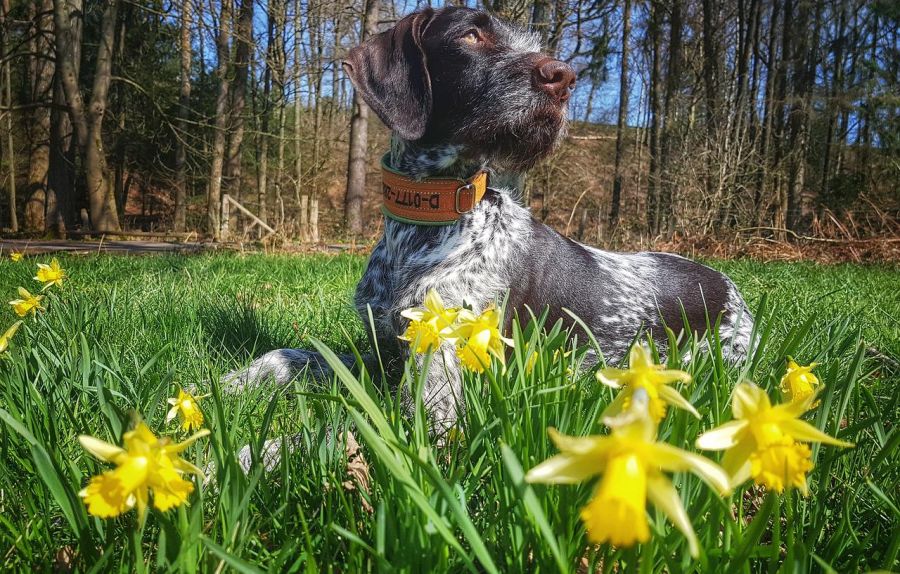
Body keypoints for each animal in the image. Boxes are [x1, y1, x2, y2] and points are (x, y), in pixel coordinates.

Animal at [225, 5, 752, 446]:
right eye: (471, 34)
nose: (563, 77)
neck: (426, 226)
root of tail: (730, 287)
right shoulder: (387, 354)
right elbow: (293, 355)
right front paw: (232, 382)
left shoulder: (437, 407)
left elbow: (315, 440)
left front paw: (225, 464)